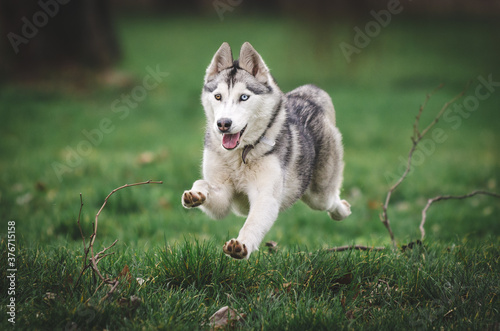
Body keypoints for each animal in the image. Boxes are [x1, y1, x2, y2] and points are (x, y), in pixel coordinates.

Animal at [182, 42, 350, 260]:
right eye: (218, 96)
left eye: (244, 97)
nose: (223, 124)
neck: (240, 155)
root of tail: (306, 96)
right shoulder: (223, 195)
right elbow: (205, 186)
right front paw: (196, 193)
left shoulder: (265, 197)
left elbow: (253, 223)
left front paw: (242, 245)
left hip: (318, 193)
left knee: (330, 200)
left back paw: (343, 210)